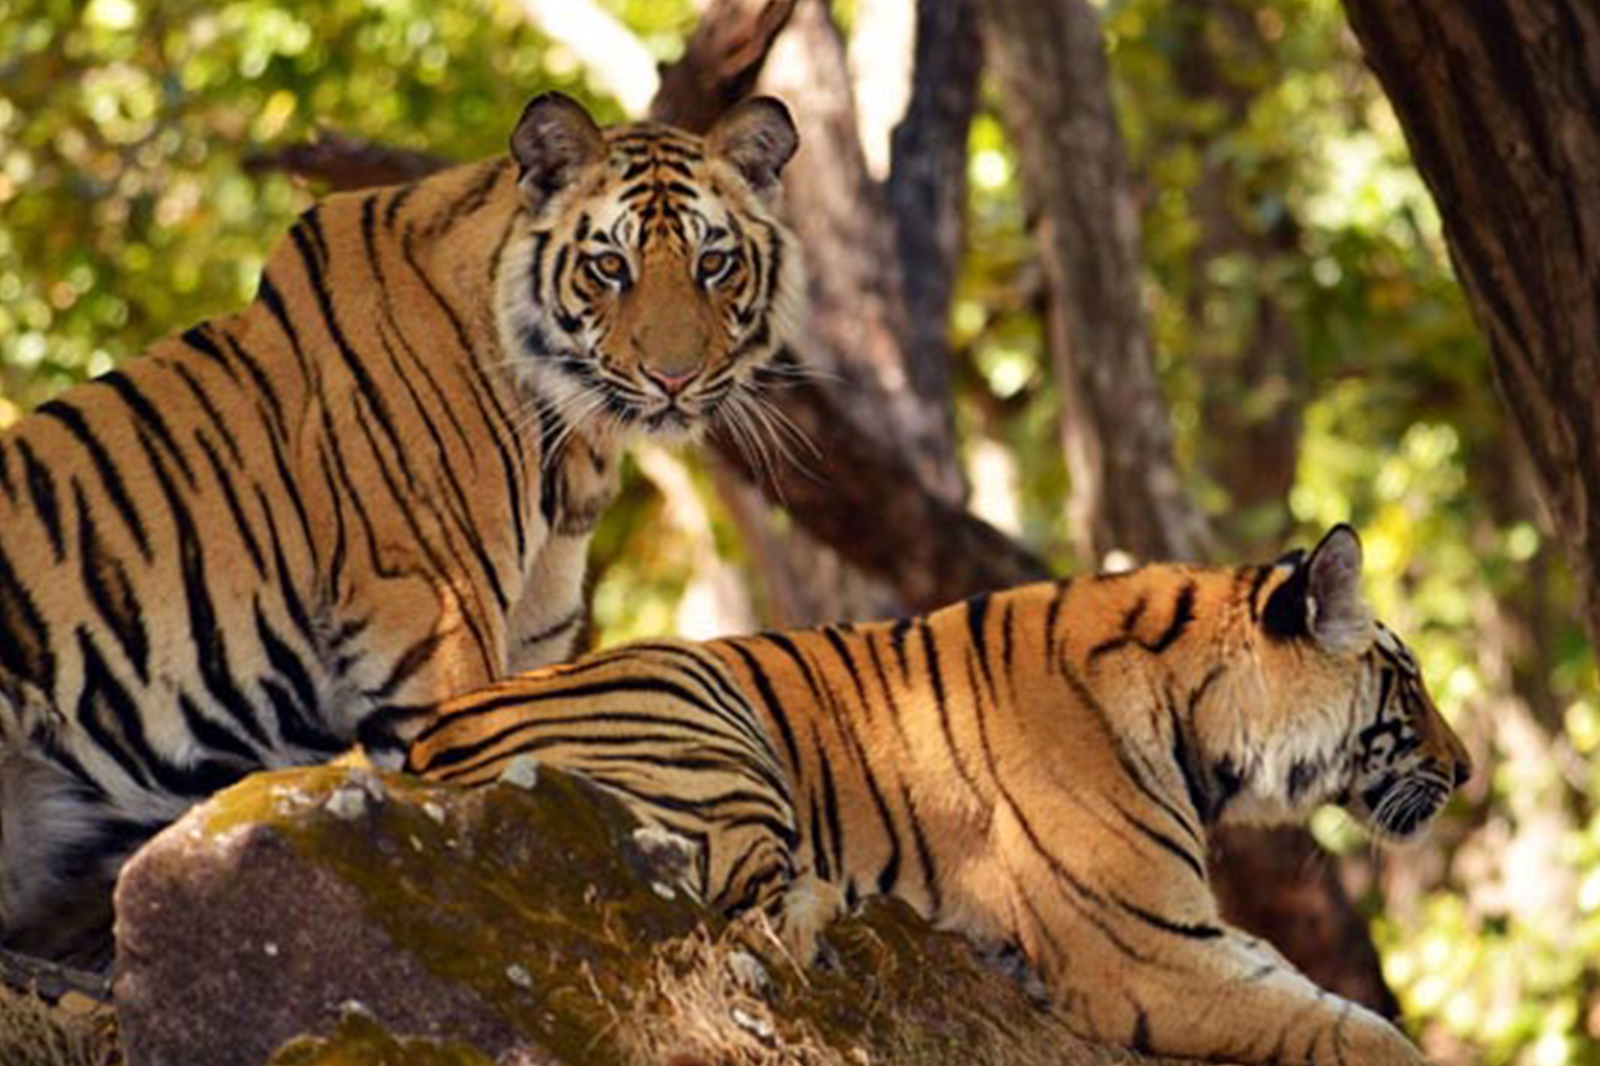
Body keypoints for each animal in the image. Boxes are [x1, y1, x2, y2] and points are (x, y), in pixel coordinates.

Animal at [0, 91, 804, 963]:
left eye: (714, 263)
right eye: (609, 267)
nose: (674, 378)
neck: (572, 451)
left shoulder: (533, 646)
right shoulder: (436, 624)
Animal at [408, 525, 1472, 1066]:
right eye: (1409, 684)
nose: (1466, 772)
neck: (1198, 720)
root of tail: (423, 740)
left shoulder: (1184, 935)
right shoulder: (1149, 953)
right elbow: (1351, 1029)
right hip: (697, 705)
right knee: (750, 908)